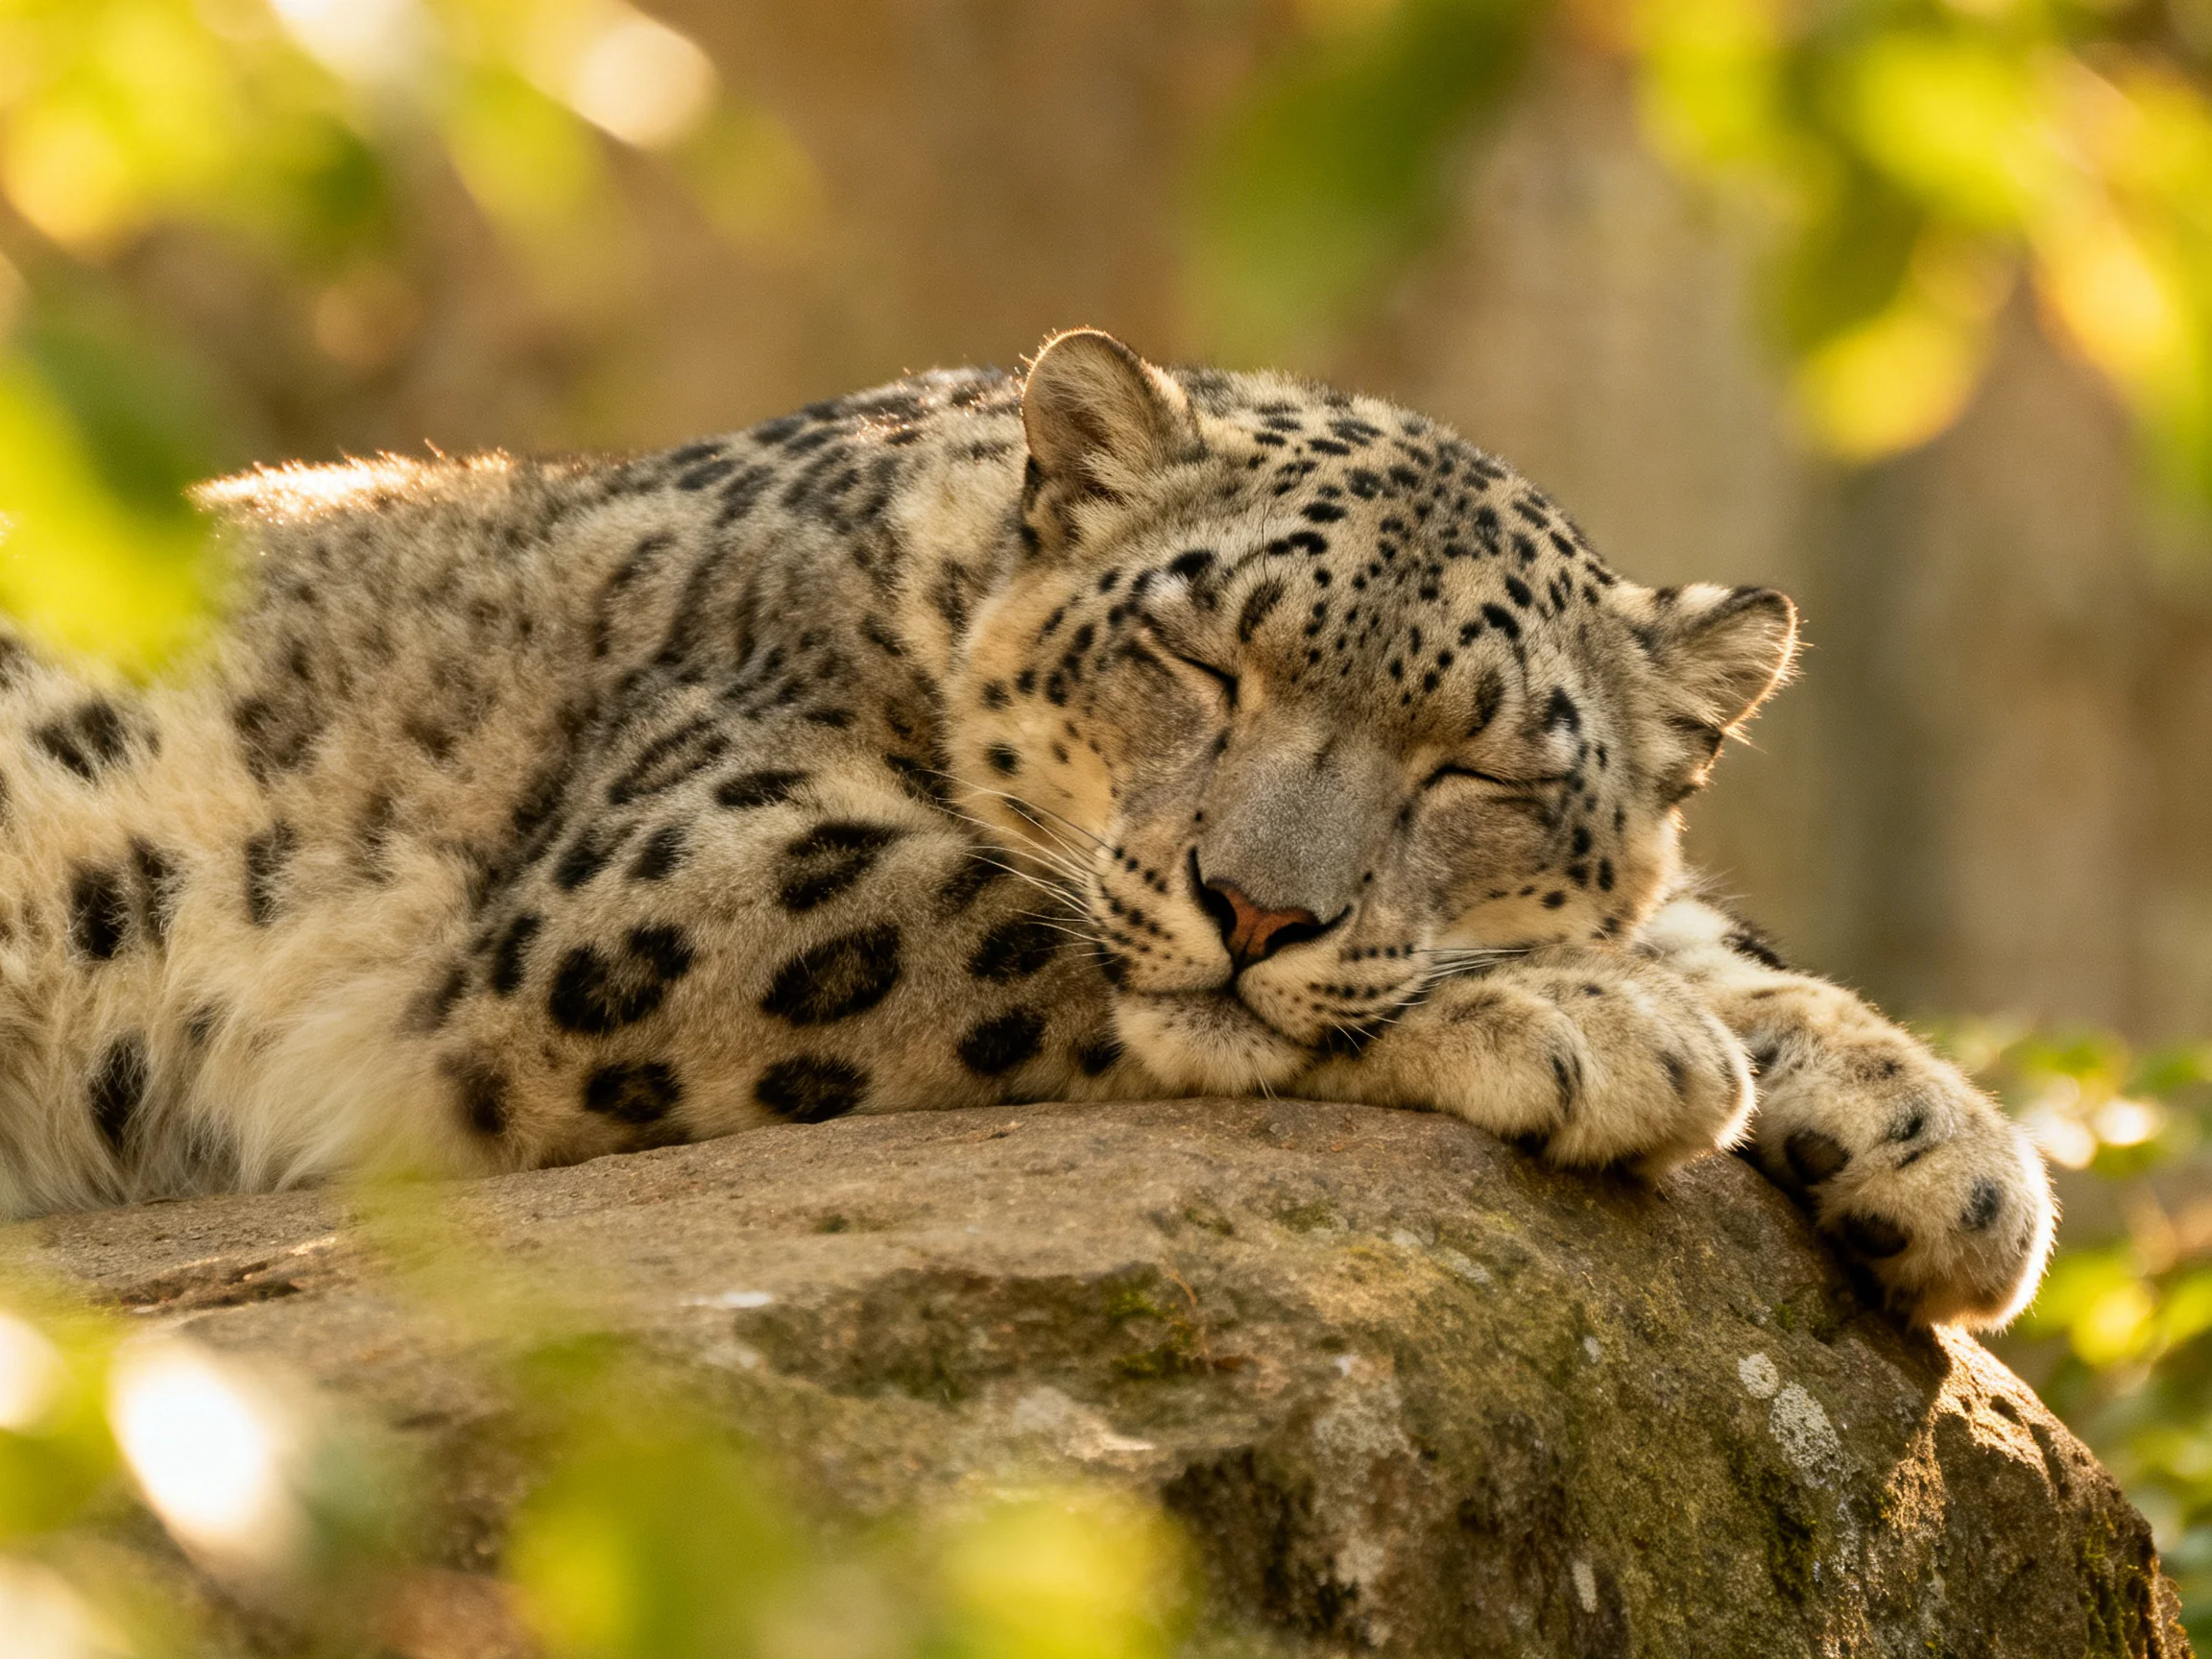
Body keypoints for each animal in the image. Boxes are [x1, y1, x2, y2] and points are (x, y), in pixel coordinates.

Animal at [0, 328, 2053, 1330]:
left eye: (1475, 769)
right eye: (1200, 653)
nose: (1255, 905)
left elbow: (1706, 929)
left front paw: (1943, 1151)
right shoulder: (671, 875)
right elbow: (1004, 919)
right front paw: (1584, 1026)